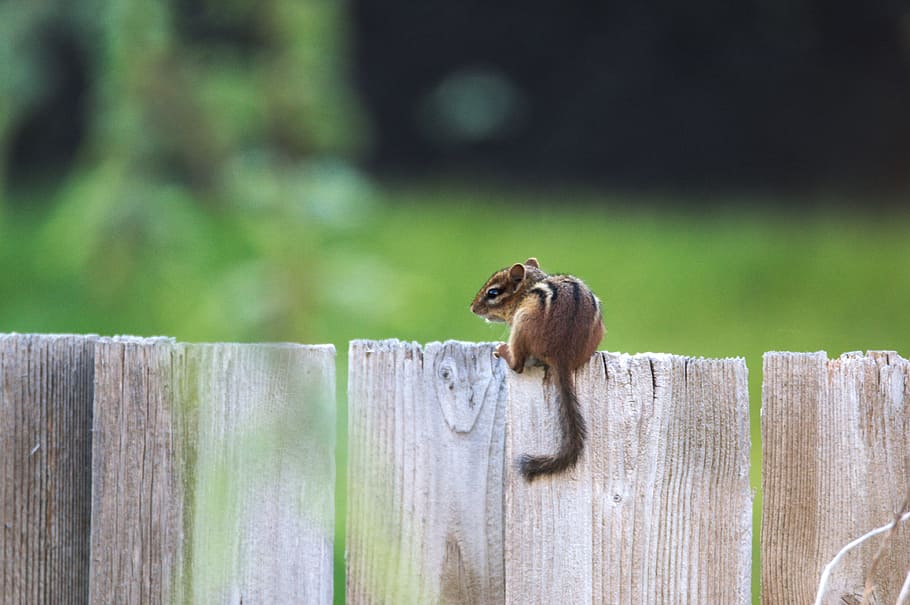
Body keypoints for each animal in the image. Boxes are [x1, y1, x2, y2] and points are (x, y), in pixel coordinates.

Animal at [470, 257, 604, 481]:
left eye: (492, 293)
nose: (472, 308)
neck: (529, 286)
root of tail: (562, 355)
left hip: (522, 323)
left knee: (518, 365)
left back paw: (503, 351)